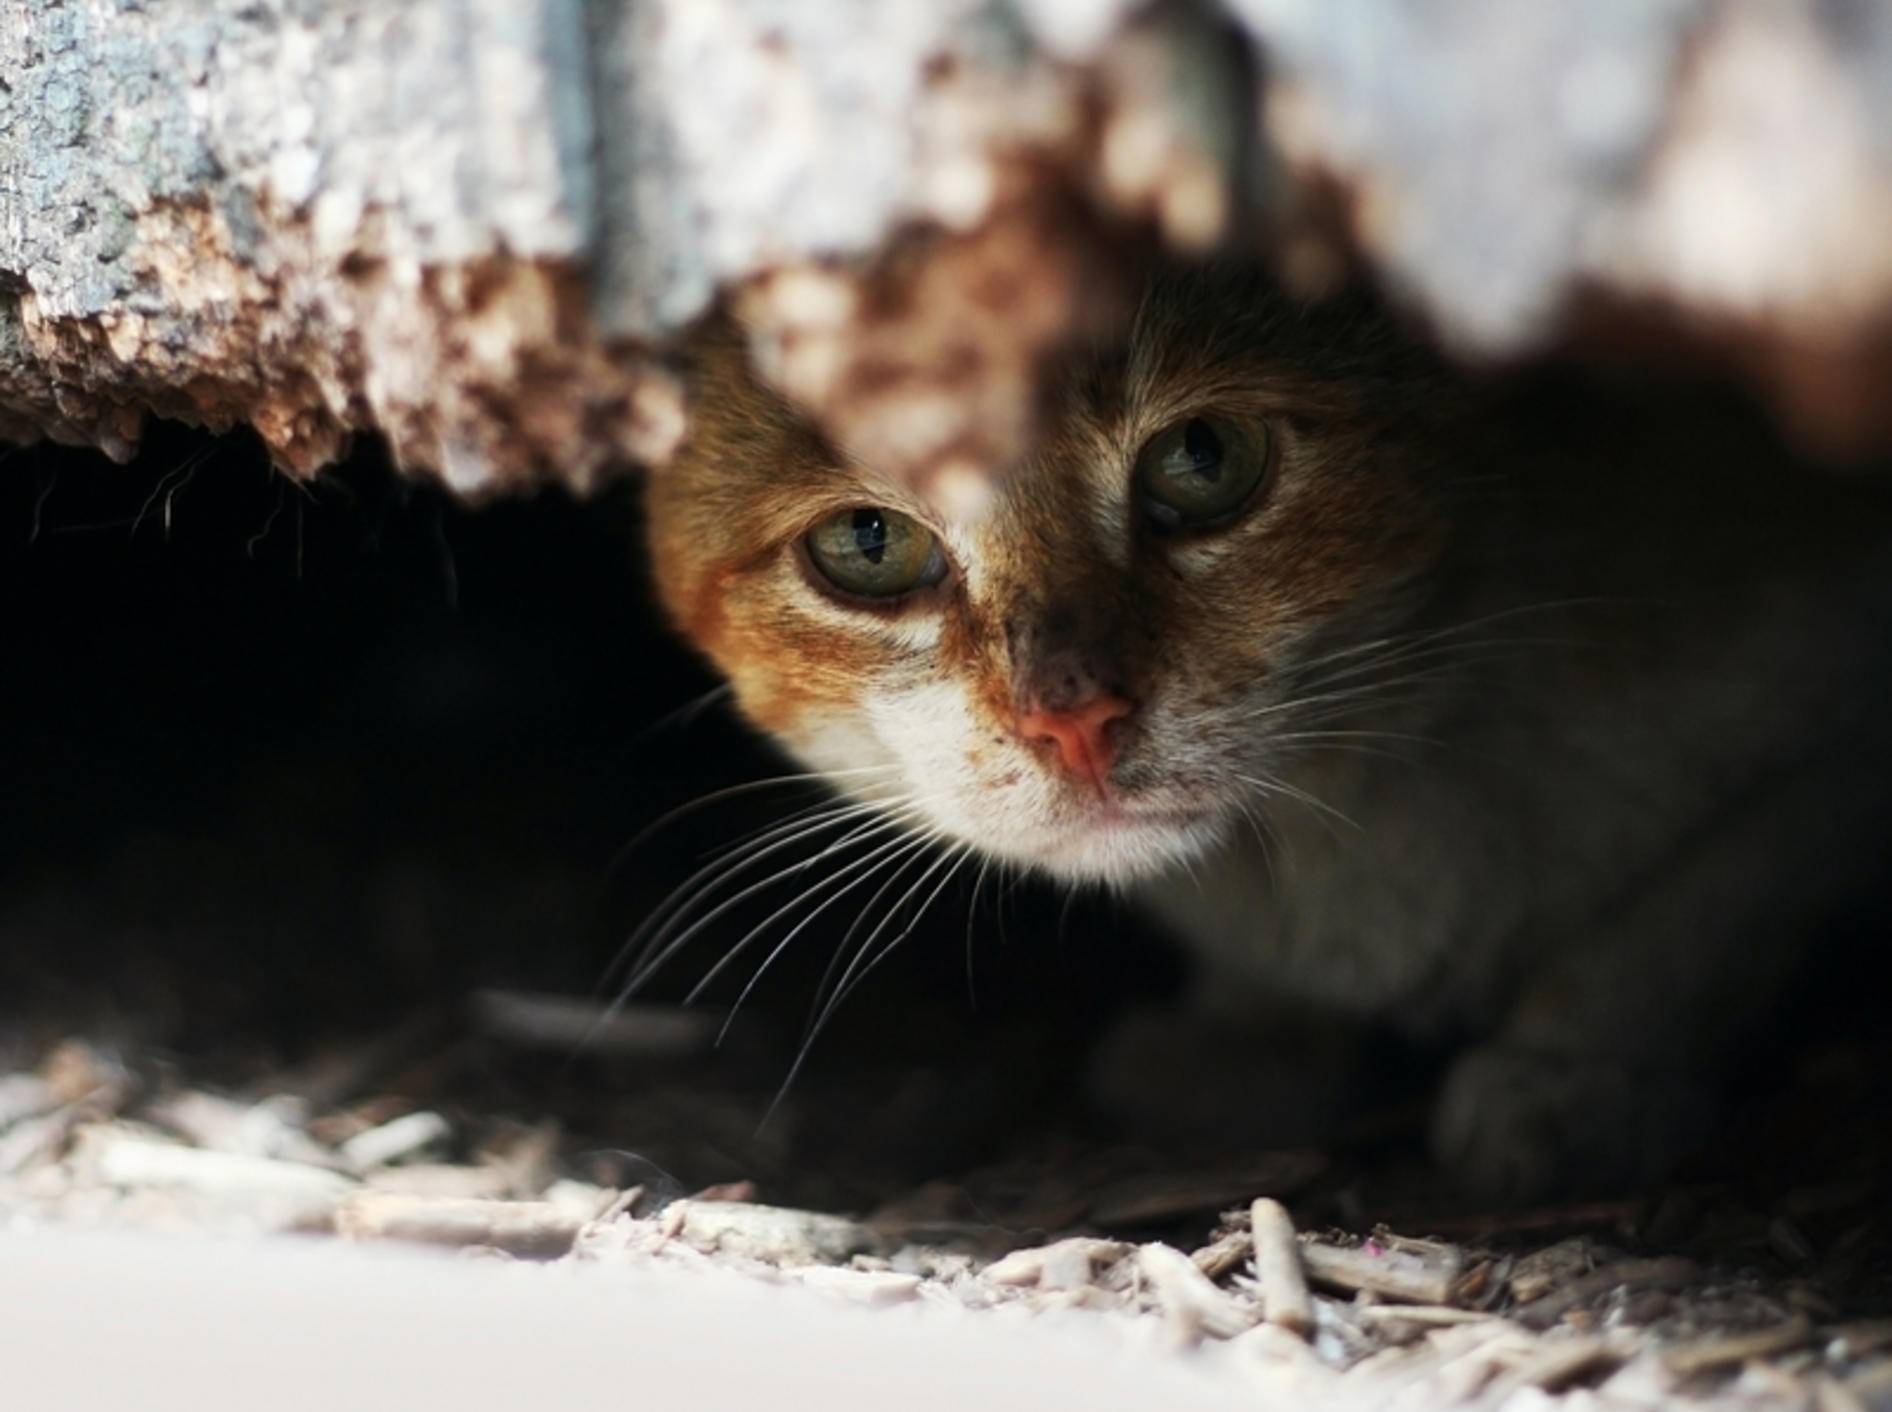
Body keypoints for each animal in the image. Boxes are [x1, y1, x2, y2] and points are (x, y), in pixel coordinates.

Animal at [639, 261, 1892, 1188]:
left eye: (1202, 458)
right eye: (868, 542)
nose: (1073, 719)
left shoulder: (1824, 729)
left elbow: (1689, 919)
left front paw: (1577, 1070)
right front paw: (1251, 1032)